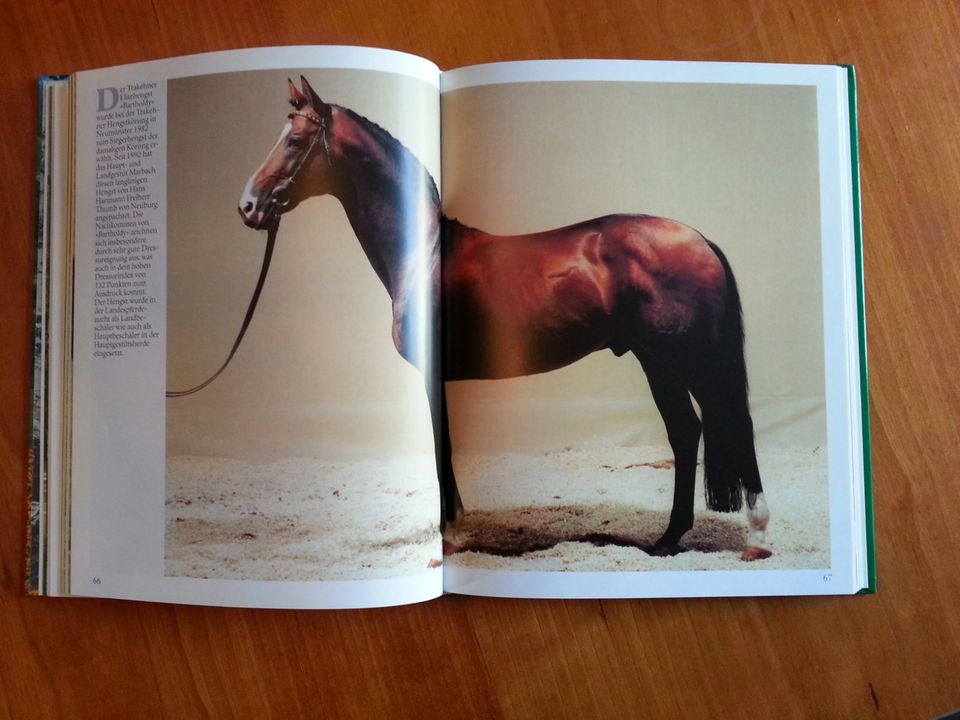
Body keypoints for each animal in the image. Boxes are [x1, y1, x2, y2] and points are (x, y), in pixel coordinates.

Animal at [238, 79, 772, 564]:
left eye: (294, 140)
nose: (248, 206)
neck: (424, 254)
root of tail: (699, 239)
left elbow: (443, 449)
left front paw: (450, 537)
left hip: (681, 358)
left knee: (719, 424)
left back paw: (750, 537)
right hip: (661, 360)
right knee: (688, 430)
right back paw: (671, 538)